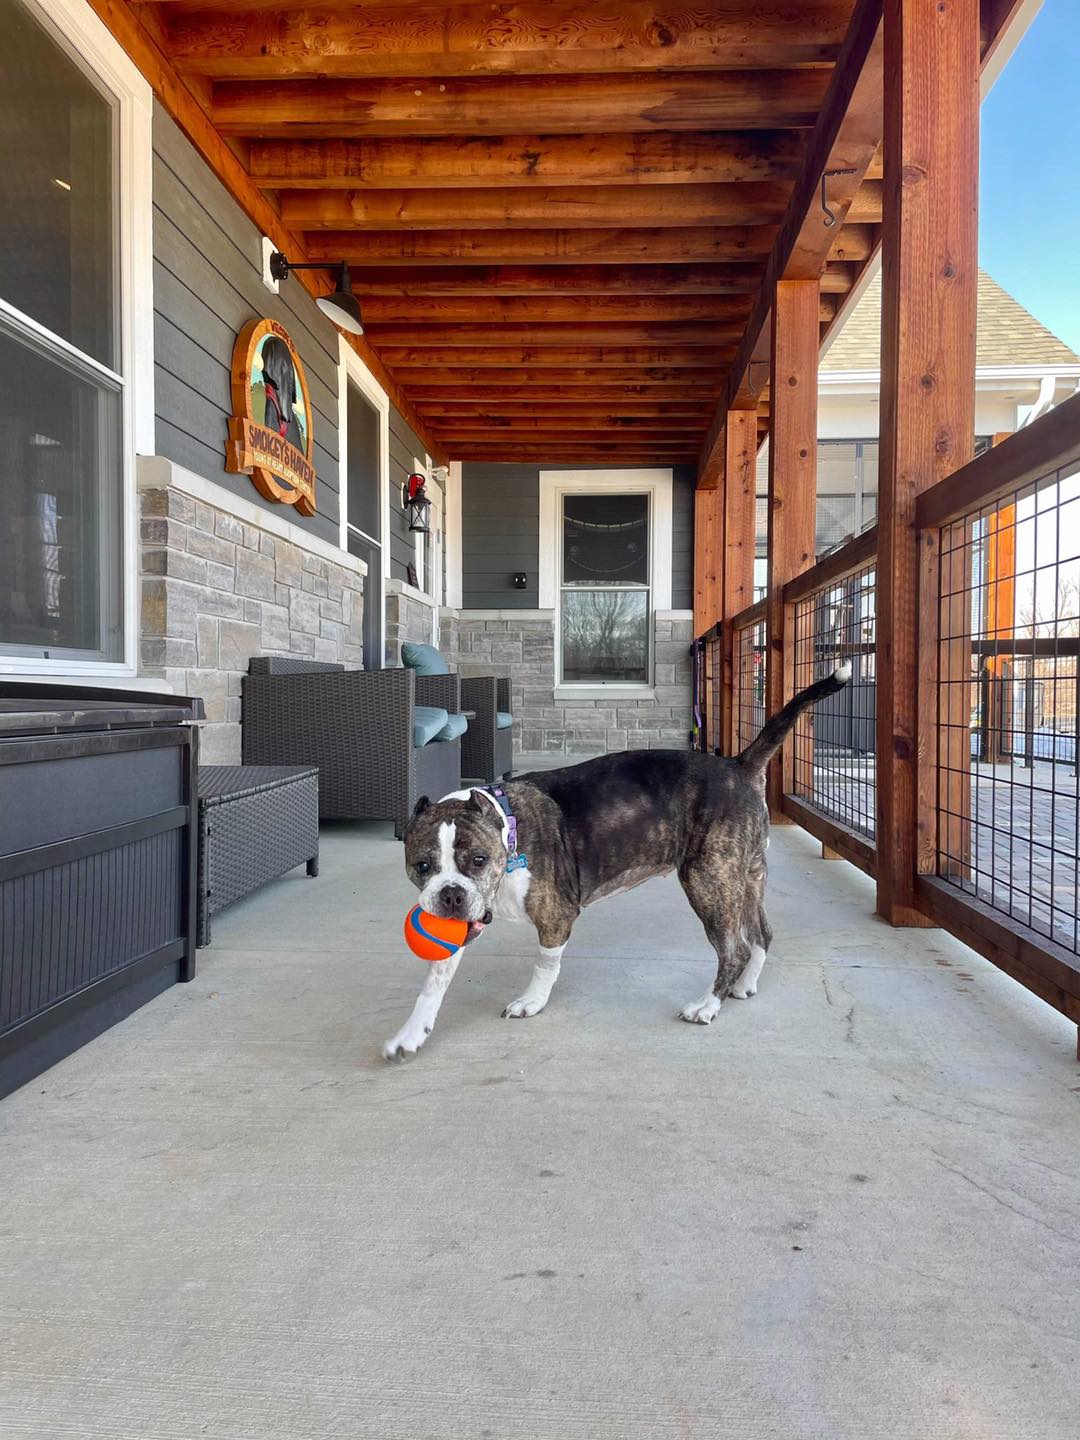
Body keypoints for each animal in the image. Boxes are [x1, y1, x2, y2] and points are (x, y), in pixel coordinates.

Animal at [385, 662, 852, 1059]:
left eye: (479, 860)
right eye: (422, 866)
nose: (450, 896)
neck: (506, 826)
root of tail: (738, 766)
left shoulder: (555, 917)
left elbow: (544, 964)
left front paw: (532, 1001)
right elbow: (435, 983)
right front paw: (410, 1034)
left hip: (708, 881)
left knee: (733, 948)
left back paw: (708, 1004)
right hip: (747, 877)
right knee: (762, 935)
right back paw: (746, 985)